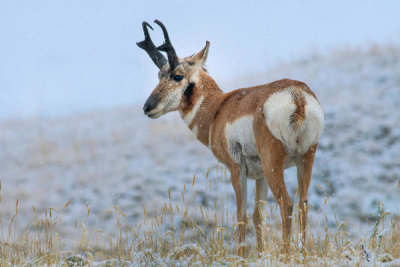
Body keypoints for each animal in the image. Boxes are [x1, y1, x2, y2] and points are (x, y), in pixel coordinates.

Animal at [136, 19, 324, 254]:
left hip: (274, 163)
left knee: (286, 204)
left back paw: (286, 255)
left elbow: (242, 215)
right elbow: (258, 215)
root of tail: (296, 96)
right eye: (159, 75)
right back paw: (303, 252)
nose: (147, 107)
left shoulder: (237, 169)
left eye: (177, 76)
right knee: (303, 204)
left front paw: (242, 255)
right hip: (305, 158)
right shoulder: (259, 175)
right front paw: (259, 253)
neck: (218, 108)